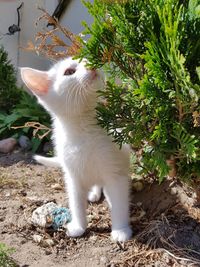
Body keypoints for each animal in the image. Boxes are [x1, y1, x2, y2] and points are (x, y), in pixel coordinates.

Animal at [20, 58, 133, 243]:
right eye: (69, 72)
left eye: (86, 60)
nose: (92, 65)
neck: (84, 127)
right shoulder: (72, 176)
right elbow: (76, 203)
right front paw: (79, 226)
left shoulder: (115, 173)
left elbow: (119, 203)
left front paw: (121, 229)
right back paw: (94, 193)